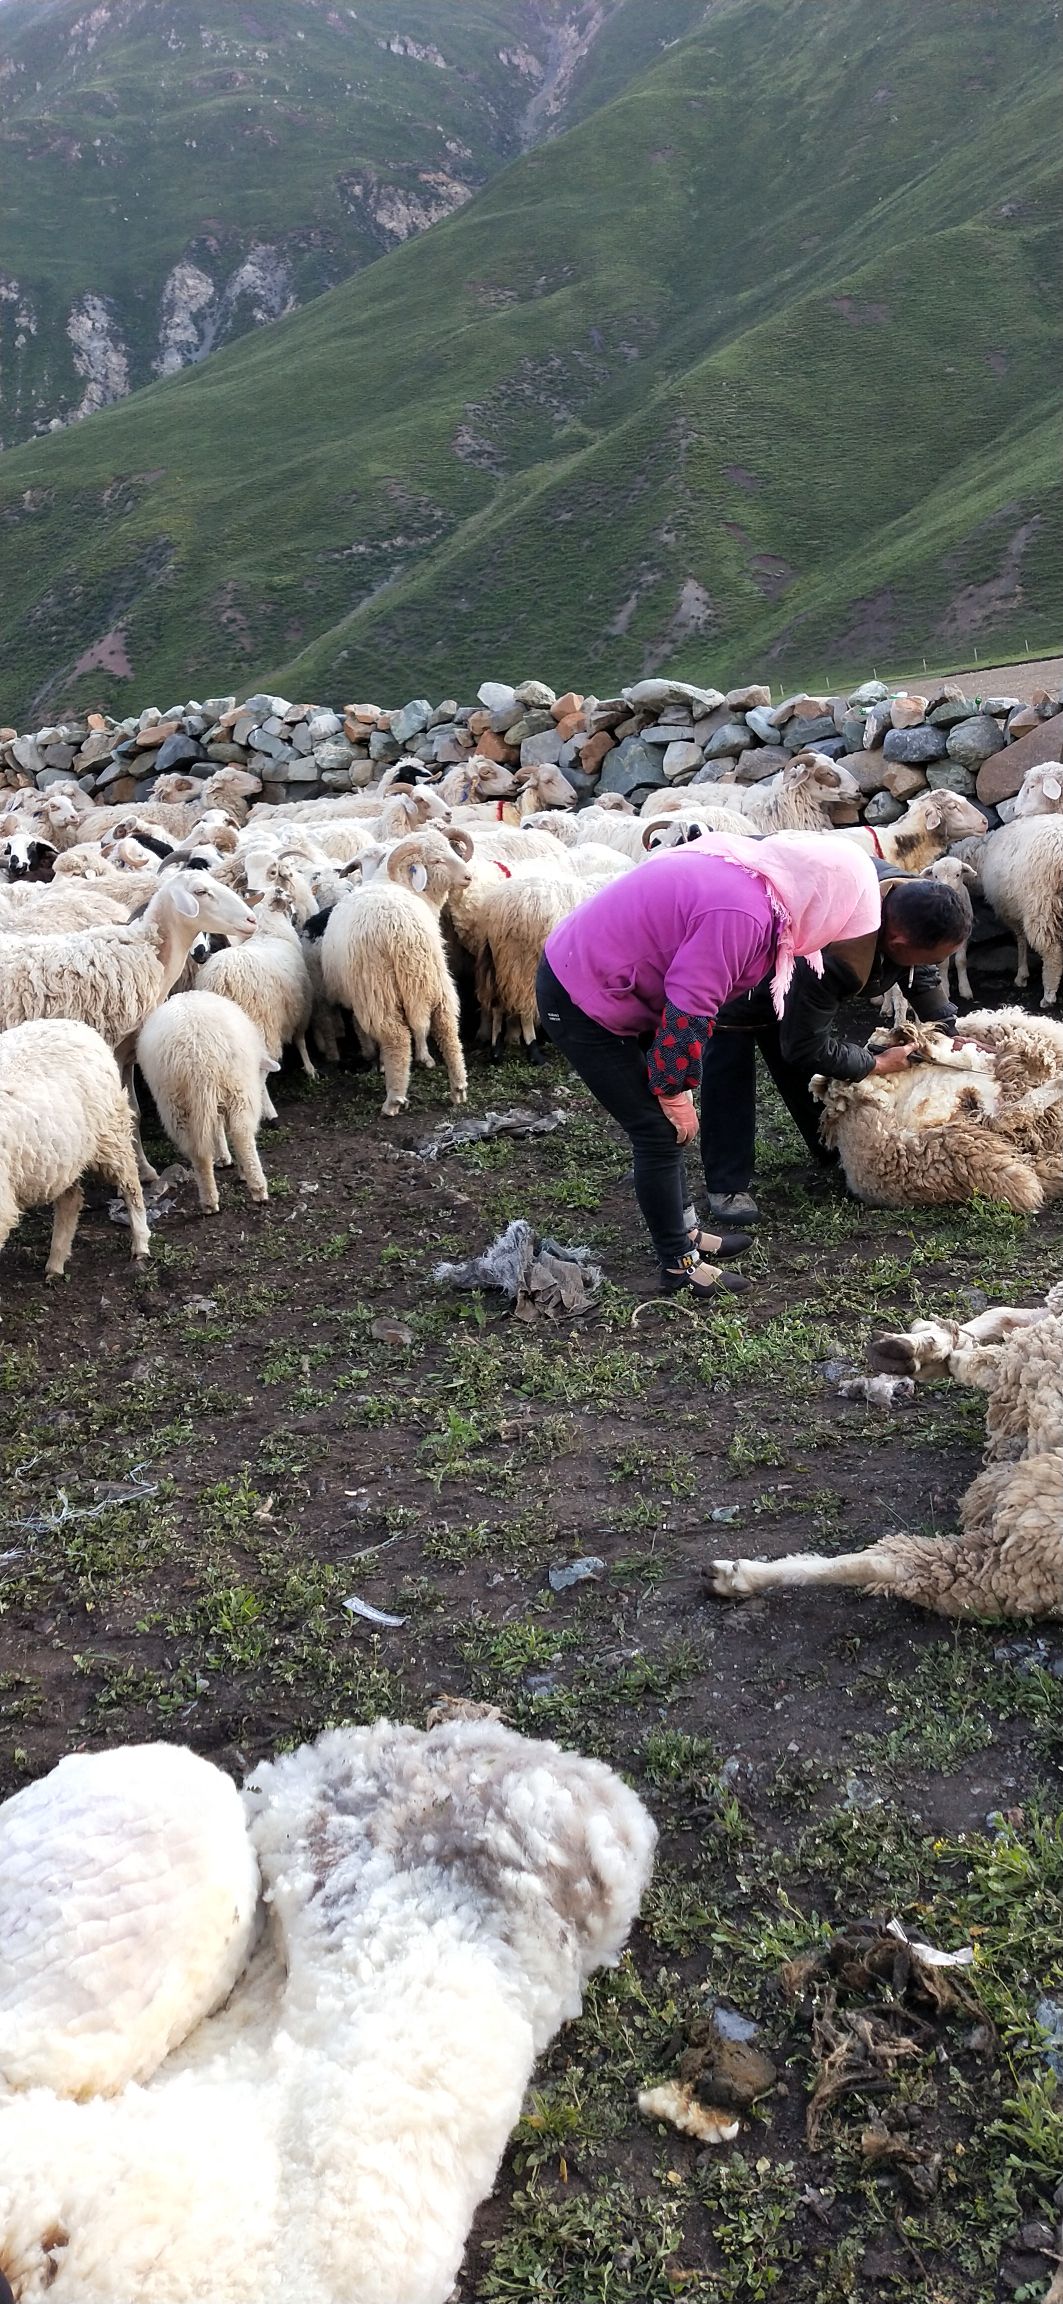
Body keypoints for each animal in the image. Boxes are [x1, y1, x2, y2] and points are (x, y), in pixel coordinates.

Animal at [0, 1022, 149, 1281]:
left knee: (131, 1185)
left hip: (110, 1134)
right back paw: (56, 1263)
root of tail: (78, 1026)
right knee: (71, 1199)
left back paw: (140, 1244)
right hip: (62, 1155)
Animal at [136, 990, 277, 1216]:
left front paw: (222, 1157)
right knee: (242, 1134)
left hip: (177, 1103)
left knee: (198, 1151)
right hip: (238, 1088)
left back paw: (210, 1200)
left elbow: (216, 1128)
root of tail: (199, 1057)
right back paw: (257, 1187)